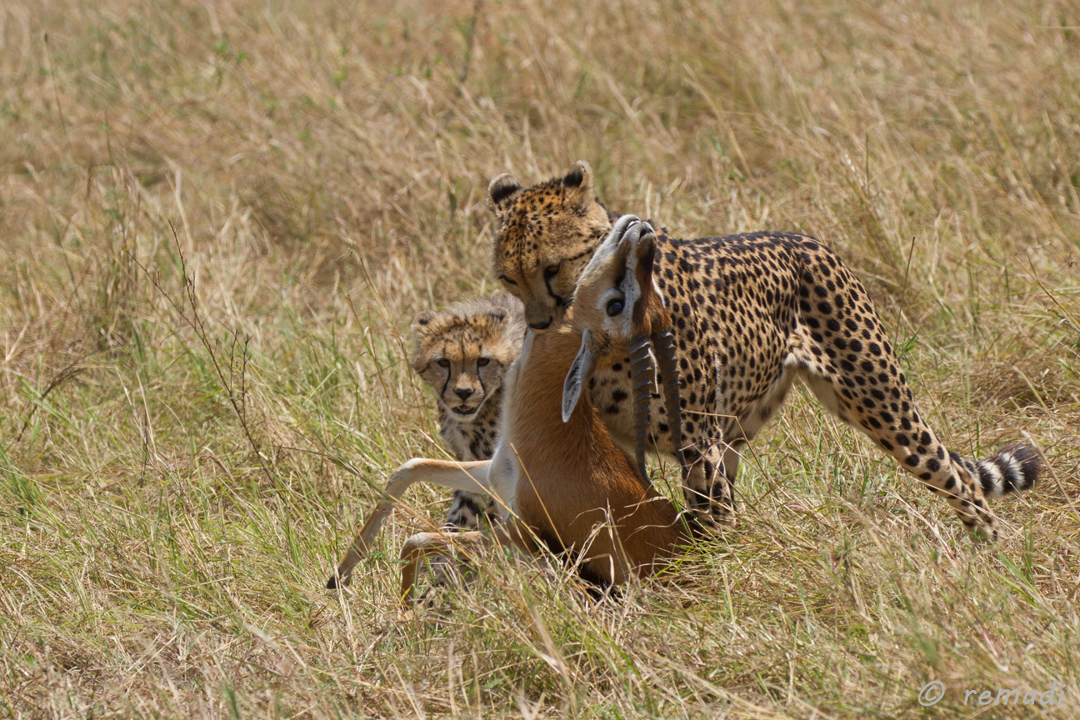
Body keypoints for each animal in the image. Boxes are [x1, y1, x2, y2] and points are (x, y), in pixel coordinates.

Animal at [488, 160, 1036, 537]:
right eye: (508, 278)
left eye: (552, 267)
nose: (539, 324)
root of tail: (807, 238)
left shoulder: (697, 441)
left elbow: (706, 523)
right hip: (738, 427)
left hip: (879, 402)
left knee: (955, 475)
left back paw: (991, 556)